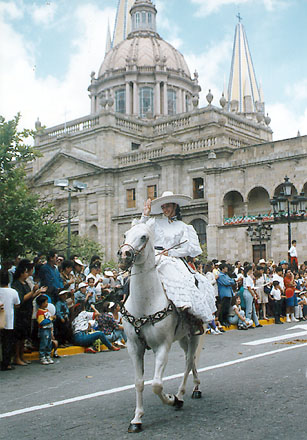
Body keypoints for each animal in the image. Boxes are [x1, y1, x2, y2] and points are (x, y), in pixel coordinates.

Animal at [118, 220, 205, 434]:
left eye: (144, 237)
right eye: (125, 234)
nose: (124, 255)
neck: (145, 302)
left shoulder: (162, 346)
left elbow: (156, 385)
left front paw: (172, 400)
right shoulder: (134, 347)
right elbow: (139, 382)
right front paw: (137, 419)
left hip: (195, 334)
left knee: (189, 361)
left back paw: (182, 394)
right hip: (182, 337)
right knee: (190, 359)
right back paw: (195, 387)